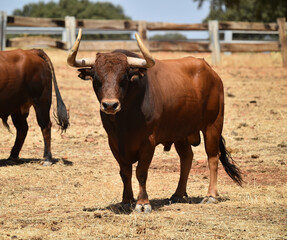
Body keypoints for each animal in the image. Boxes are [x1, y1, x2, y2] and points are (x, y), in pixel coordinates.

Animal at [67, 29, 243, 213]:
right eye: (96, 78)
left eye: (124, 77)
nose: (110, 105)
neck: (124, 122)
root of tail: (210, 71)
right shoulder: (114, 143)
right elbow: (125, 172)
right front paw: (126, 200)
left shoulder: (148, 142)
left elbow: (141, 172)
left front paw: (143, 203)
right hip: (181, 132)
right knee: (186, 158)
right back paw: (178, 194)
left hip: (213, 125)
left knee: (213, 157)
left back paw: (211, 196)